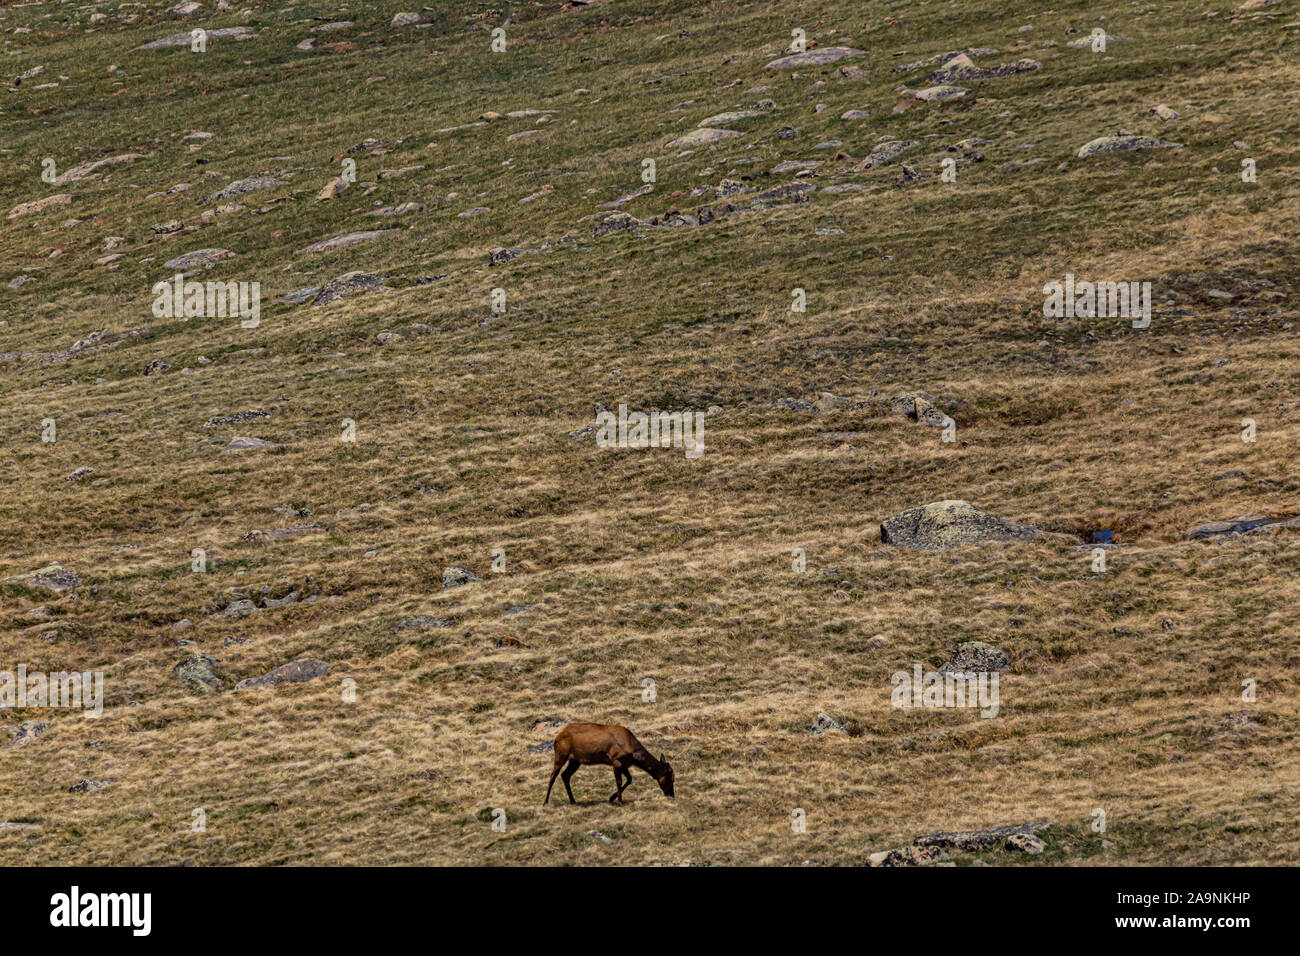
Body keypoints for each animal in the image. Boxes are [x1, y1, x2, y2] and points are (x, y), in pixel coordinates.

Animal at [543, 722, 675, 806]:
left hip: (575, 761)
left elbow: (630, 779)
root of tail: (556, 738)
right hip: (561, 755)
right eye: (671, 778)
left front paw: (612, 798)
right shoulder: (615, 761)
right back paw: (545, 802)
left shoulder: (624, 764)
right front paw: (619, 801)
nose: (672, 795)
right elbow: (619, 781)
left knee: (565, 775)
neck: (633, 754)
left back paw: (573, 801)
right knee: (553, 776)